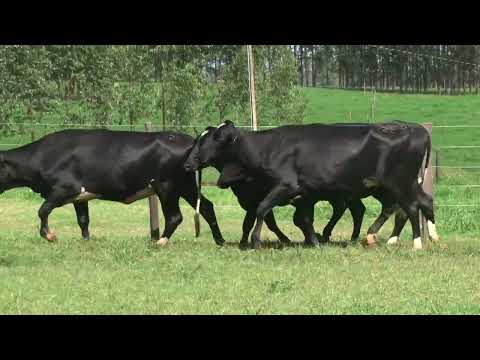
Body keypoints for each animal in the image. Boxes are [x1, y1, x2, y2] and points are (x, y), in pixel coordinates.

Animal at [0, 128, 225, 246]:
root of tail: (188, 139)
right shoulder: (80, 197)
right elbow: (83, 220)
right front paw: (86, 241)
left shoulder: (64, 189)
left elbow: (43, 210)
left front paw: (50, 235)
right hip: (186, 186)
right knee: (207, 207)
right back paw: (220, 240)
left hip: (166, 187)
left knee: (174, 216)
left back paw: (159, 242)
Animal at [186, 121, 440, 250]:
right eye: (199, 139)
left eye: (214, 139)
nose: (189, 163)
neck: (268, 147)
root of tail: (416, 129)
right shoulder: (305, 194)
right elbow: (302, 220)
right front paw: (315, 240)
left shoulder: (285, 186)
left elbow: (262, 210)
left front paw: (255, 242)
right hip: (396, 185)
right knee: (420, 202)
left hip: (400, 182)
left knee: (410, 207)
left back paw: (416, 242)